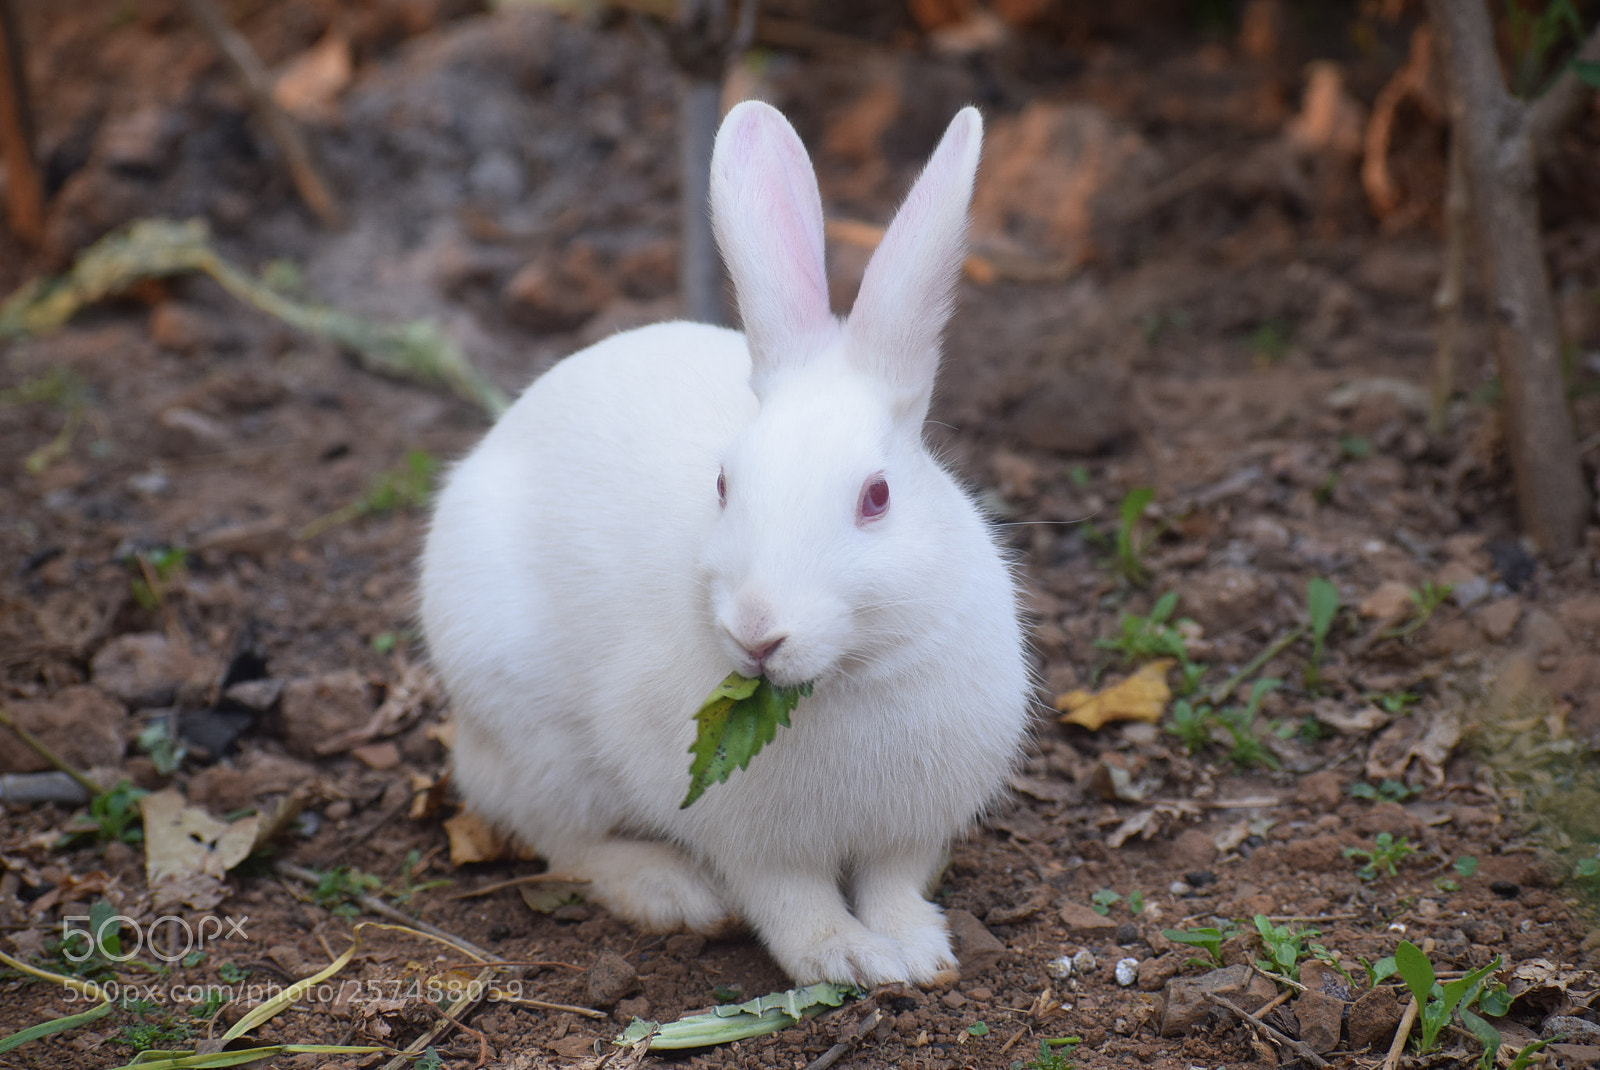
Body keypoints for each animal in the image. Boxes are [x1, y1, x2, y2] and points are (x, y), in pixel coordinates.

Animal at [419, 100, 1032, 987]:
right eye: (723, 485)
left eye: (877, 497)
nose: (757, 633)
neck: (847, 677)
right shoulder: (749, 840)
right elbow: (788, 901)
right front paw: (845, 959)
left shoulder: (910, 826)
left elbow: (893, 881)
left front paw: (916, 953)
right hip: (532, 735)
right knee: (564, 843)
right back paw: (668, 893)